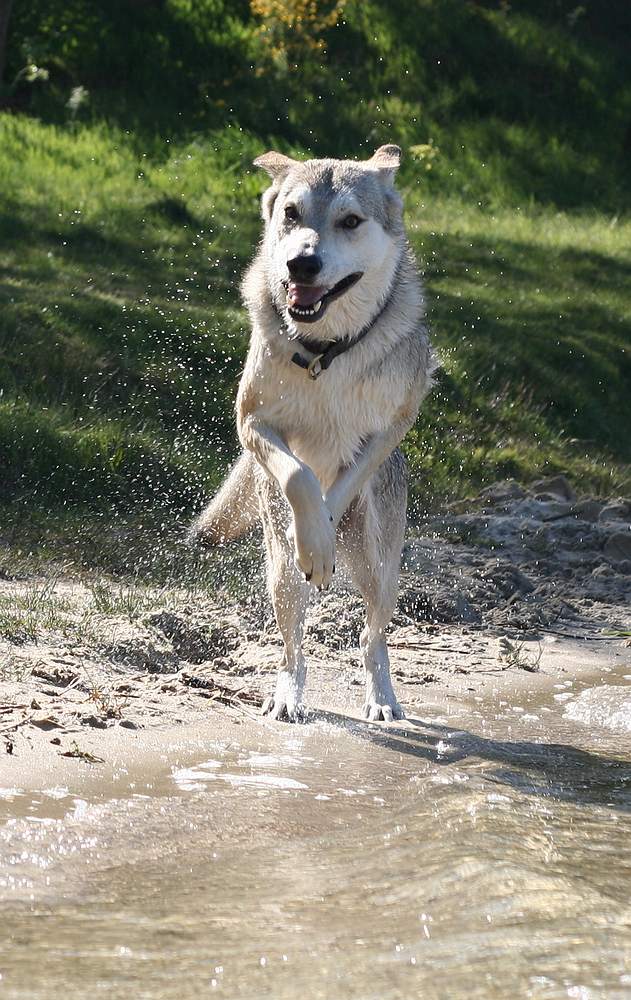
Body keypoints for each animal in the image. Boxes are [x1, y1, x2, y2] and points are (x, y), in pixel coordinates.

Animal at [188, 143, 434, 720]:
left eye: (350, 221)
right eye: (292, 213)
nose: (301, 262)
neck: (327, 352)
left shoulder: (391, 427)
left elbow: (338, 485)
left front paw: (324, 526)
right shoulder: (253, 423)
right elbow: (300, 476)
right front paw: (316, 540)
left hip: (380, 566)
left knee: (372, 637)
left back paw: (382, 700)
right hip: (279, 569)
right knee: (293, 641)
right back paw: (287, 697)